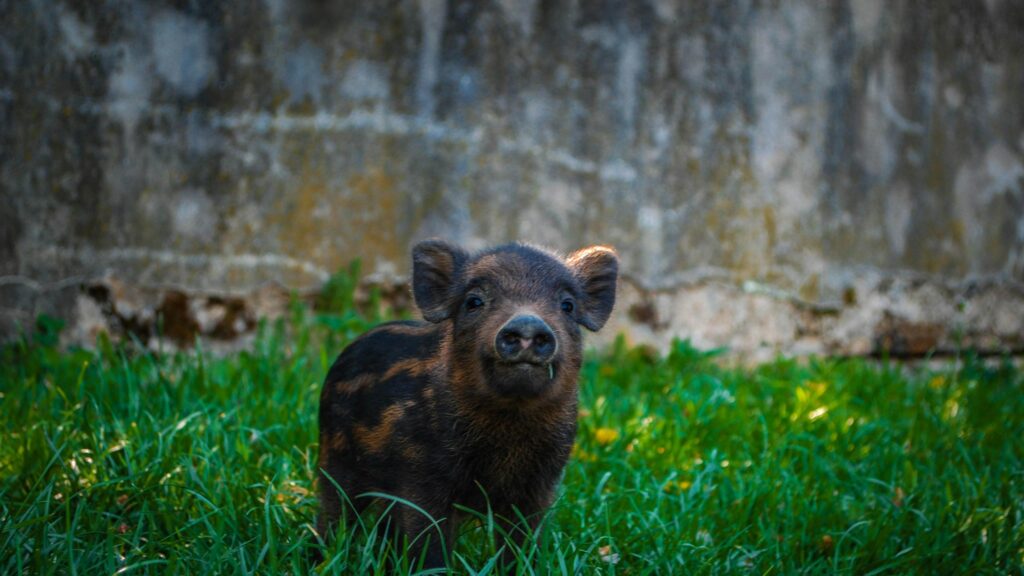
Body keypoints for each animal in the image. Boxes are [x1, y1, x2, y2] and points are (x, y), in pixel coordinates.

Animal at [317, 240, 618, 569]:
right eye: (474, 301)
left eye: (567, 305)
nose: (527, 324)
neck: (510, 426)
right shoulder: (421, 475)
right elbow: (429, 543)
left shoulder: (540, 484)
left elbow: (522, 542)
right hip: (334, 458)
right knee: (333, 515)